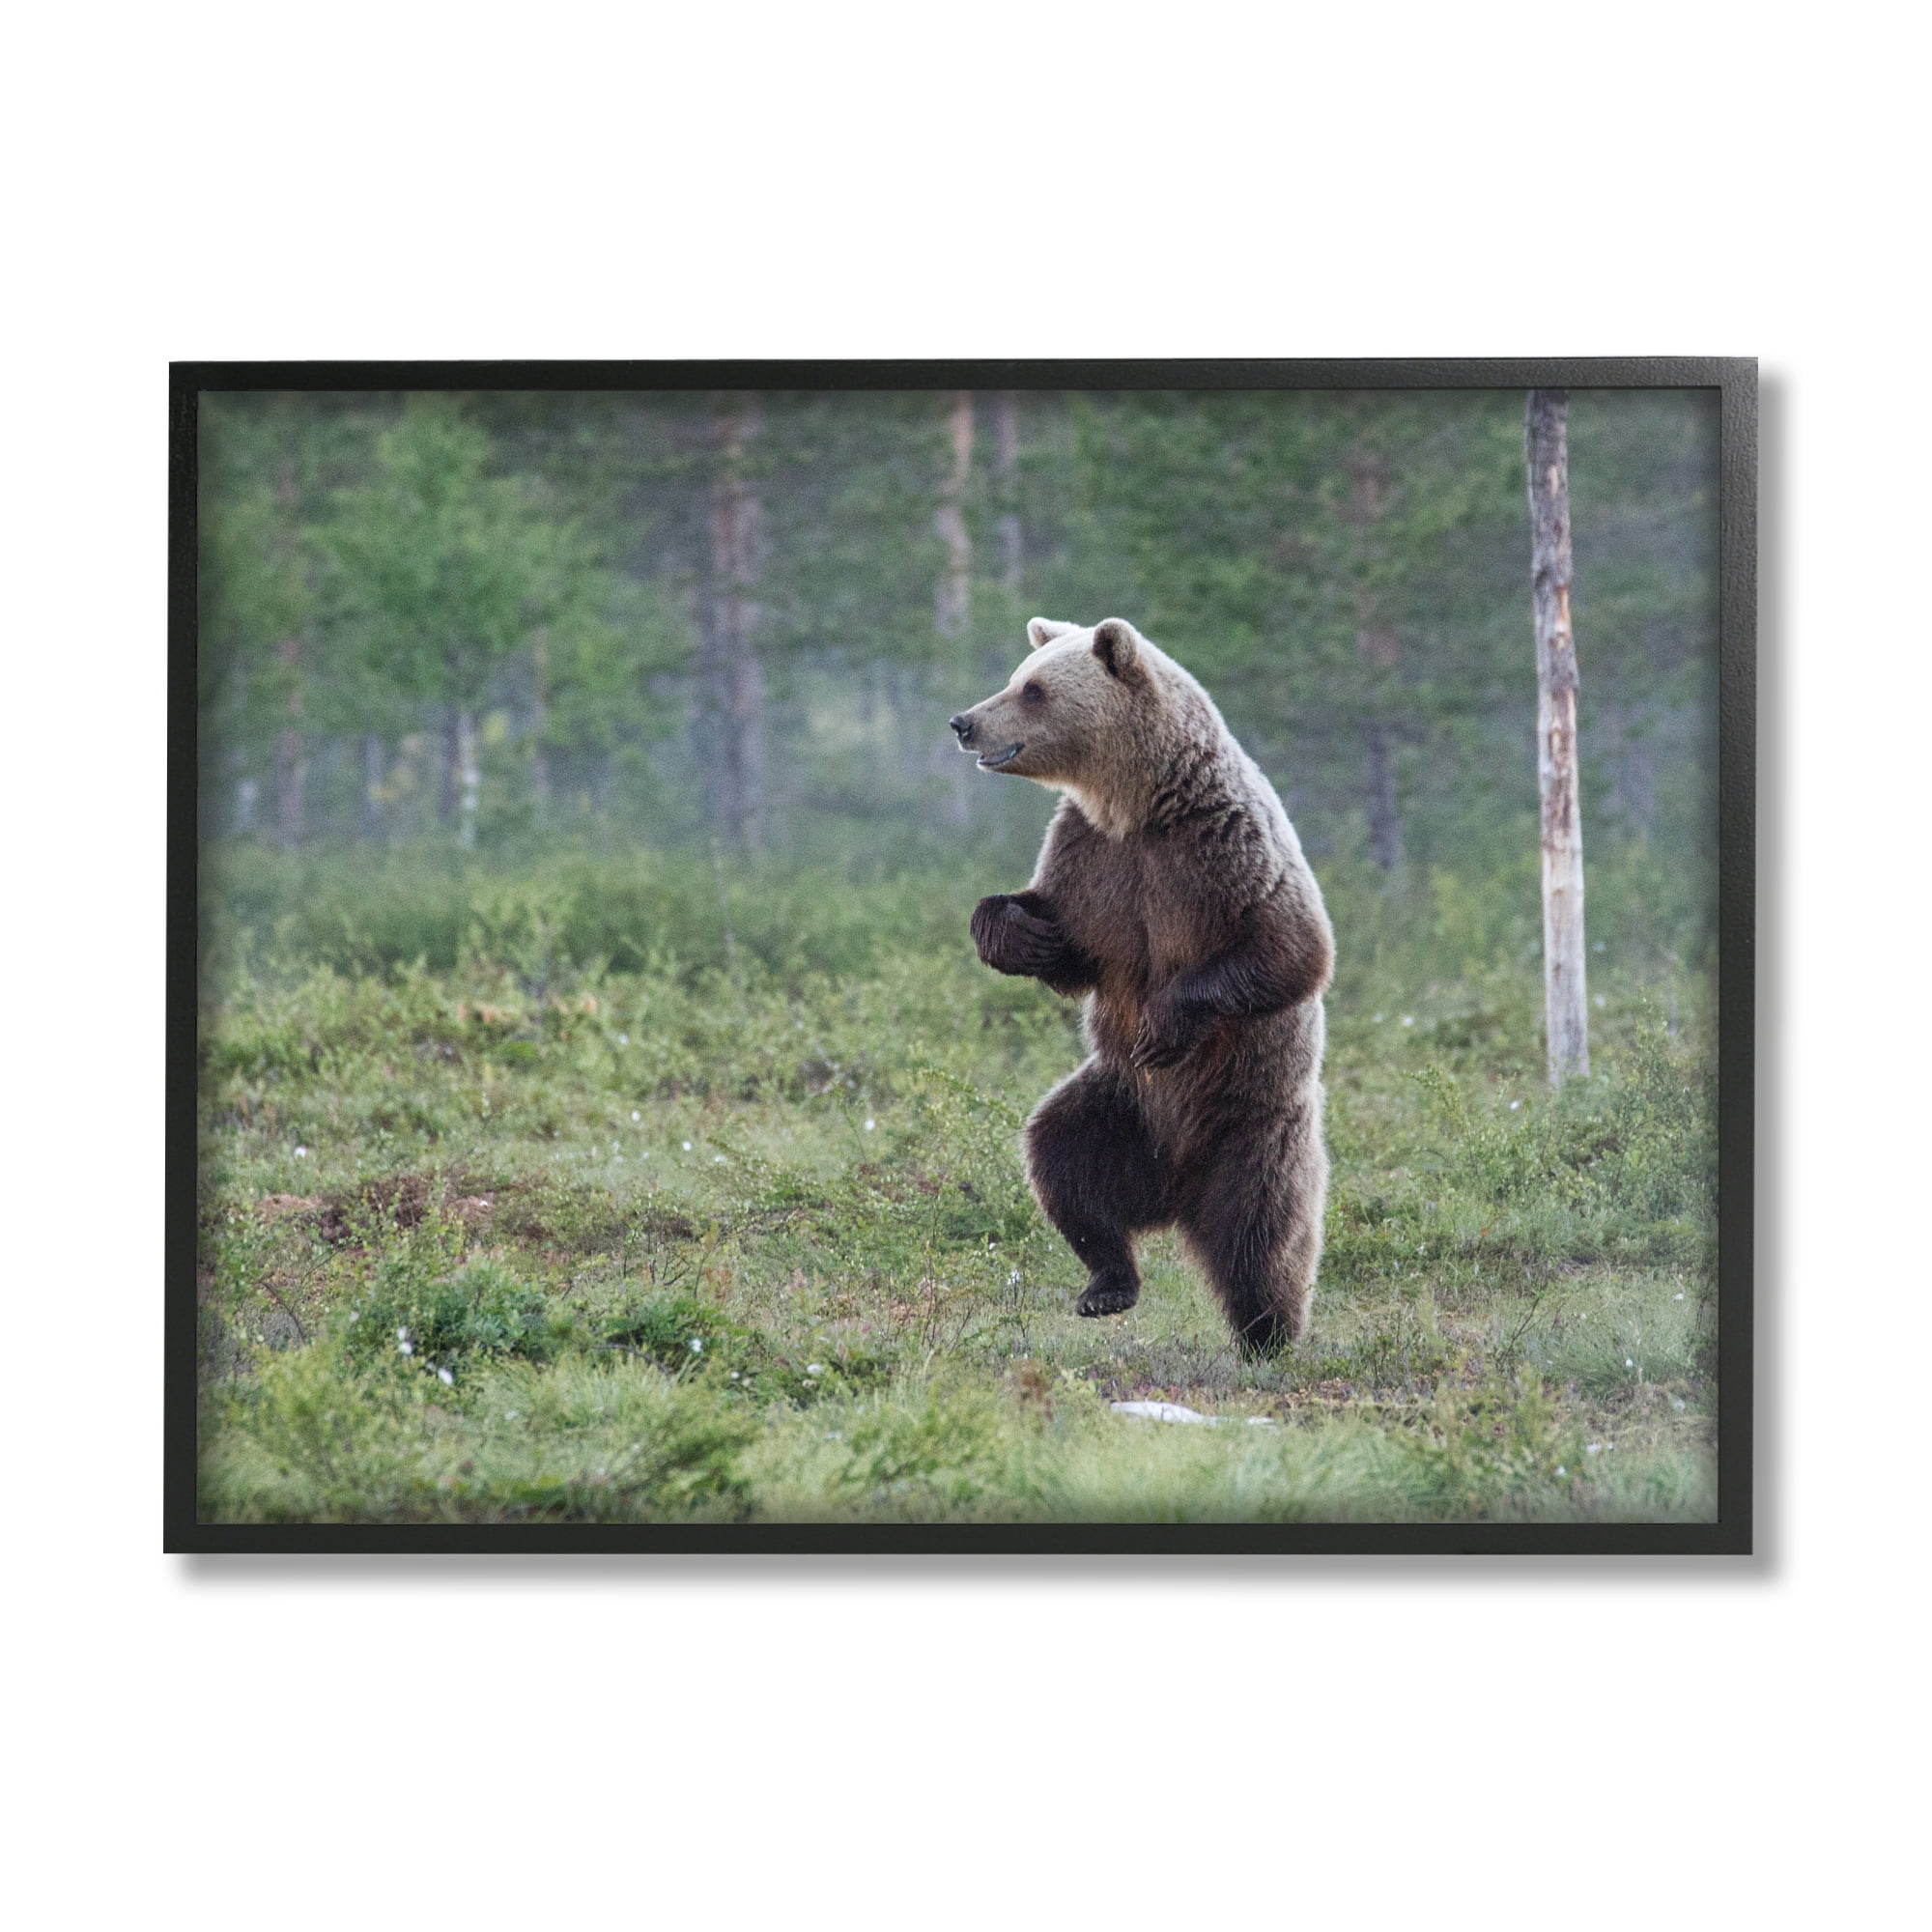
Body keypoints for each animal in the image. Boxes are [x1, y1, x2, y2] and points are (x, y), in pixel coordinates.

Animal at [948, 616, 1334, 1355]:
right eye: (1018, 676)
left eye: (1033, 690)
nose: (963, 722)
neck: (1136, 804)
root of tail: (1175, 1193)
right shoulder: (1090, 858)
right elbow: (1071, 944)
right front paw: (1019, 932)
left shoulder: (1221, 847)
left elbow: (1291, 948)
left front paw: (1165, 1024)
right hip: (1119, 1106)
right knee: (1060, 1161)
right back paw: (1106, 1284)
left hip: (1251, 1123)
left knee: (1262, 1234)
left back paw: (1269, 1335)